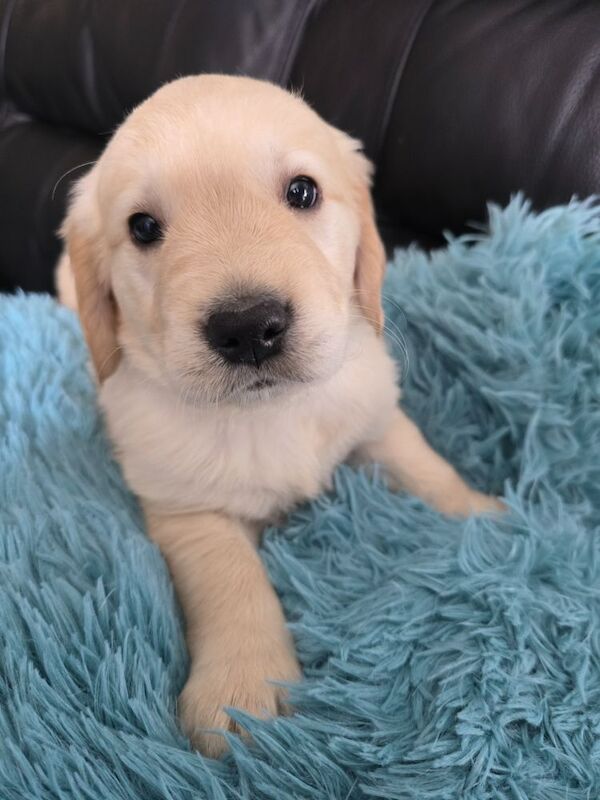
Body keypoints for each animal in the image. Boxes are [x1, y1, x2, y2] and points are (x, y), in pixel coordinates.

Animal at [57, 75, 502, 756]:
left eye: (302, 191)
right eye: (143, 227)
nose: (247, 328)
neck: (270, 410)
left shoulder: (374, 413)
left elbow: (426, 467)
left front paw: (487, 516)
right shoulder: (188, 508)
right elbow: (233, 582)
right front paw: (239, 691)